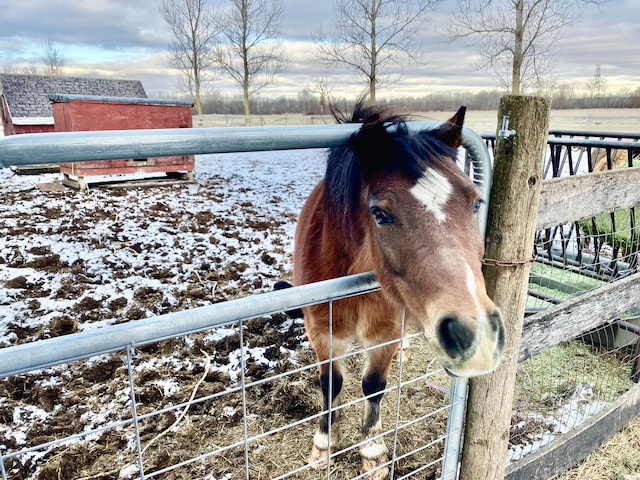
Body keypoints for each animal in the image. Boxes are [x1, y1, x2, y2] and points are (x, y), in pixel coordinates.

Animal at [290, 103, 504, 478]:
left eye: (476, 203)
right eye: (380, 214)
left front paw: (372, 452)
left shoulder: (383, 335)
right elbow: (331, 384)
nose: (474, 335)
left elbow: (373, 387)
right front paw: (324, 445)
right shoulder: (322, 332)